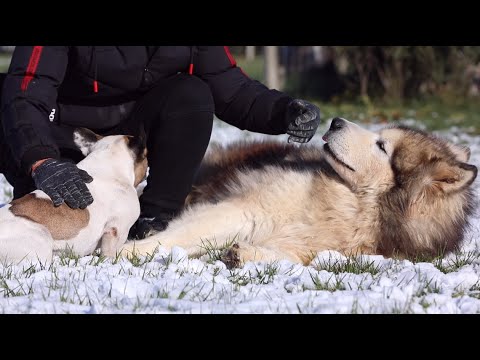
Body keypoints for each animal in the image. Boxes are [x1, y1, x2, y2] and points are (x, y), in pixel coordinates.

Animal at [122, 118, 478, 268]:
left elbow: (293, 257)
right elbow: (178, 235)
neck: (352, 204)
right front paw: (128, 251)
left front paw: (245, 254)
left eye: (382, 146)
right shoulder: (245, 209)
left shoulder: (330, 250)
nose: (335, 121)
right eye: (380, 137)